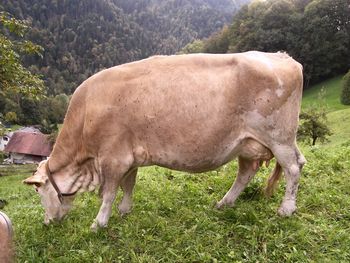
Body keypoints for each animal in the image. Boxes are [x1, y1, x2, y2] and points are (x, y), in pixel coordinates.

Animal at [23, 51, 304, 231]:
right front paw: (125, 211)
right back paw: (224, 203)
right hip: (249, 142)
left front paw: (98, 223)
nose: (47, 223)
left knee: (293, 168)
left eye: (38, 191)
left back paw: (286, 209)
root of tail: (282, 56)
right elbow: (129, 185)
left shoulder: (113, 157)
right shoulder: (129, 156)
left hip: (278, 137)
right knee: (249, 172)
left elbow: (109, 192)